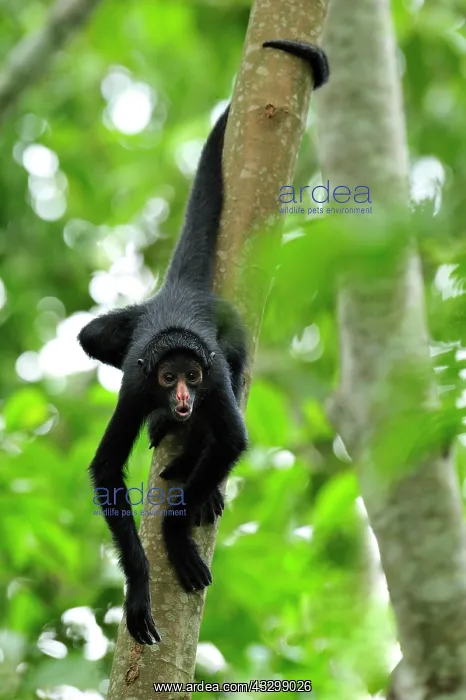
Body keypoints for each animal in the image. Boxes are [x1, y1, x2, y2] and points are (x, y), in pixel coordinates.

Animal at [78, 39, 329, 646]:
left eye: (190, 376)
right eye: (168, 377)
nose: (181, 397)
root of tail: (178, 293)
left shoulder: (212, 375)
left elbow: (233, 438)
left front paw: (174, 535)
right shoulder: (137, 384)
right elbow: (106, 472)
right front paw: (140, 586)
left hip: (228, 330)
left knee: (235, 372)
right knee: (93, 336)